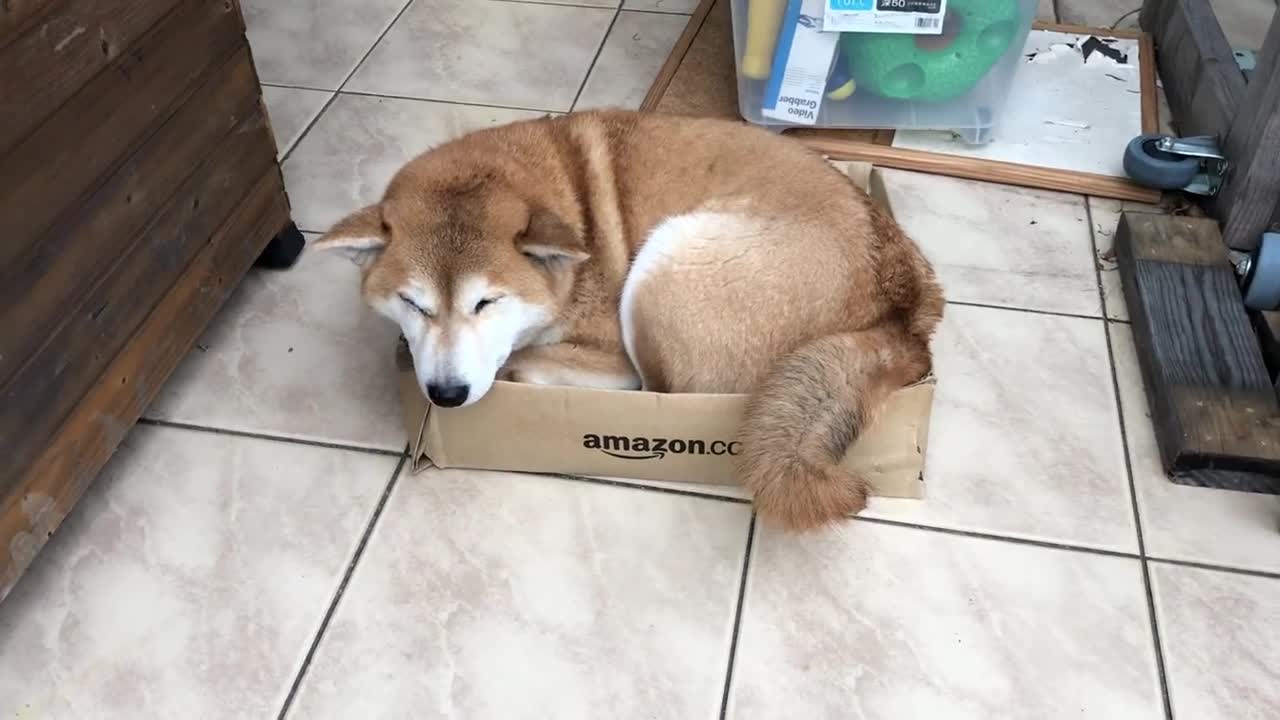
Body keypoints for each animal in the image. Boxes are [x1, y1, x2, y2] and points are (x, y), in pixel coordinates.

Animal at [314, 109, 947, 530]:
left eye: (486, 302)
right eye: (413, 303)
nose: (445, 395)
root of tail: (898, 311)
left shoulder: (606, 351)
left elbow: (541, 357)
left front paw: (521, 364)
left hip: (666, 261)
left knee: (656, 389)